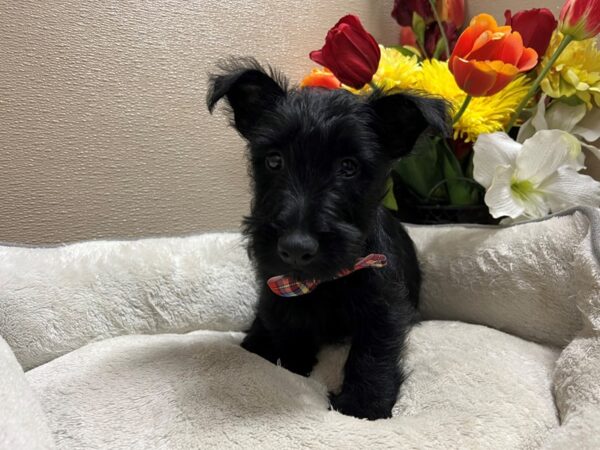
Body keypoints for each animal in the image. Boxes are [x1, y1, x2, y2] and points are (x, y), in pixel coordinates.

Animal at [209, 59, 448, 418]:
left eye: (348, 167)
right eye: (274, 160)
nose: (295, 249)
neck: (324, 281)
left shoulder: (385, 305)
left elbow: (373, 351)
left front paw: (363, 404)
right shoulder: (277, 290)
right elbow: (287, 327)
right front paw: (293, 364)